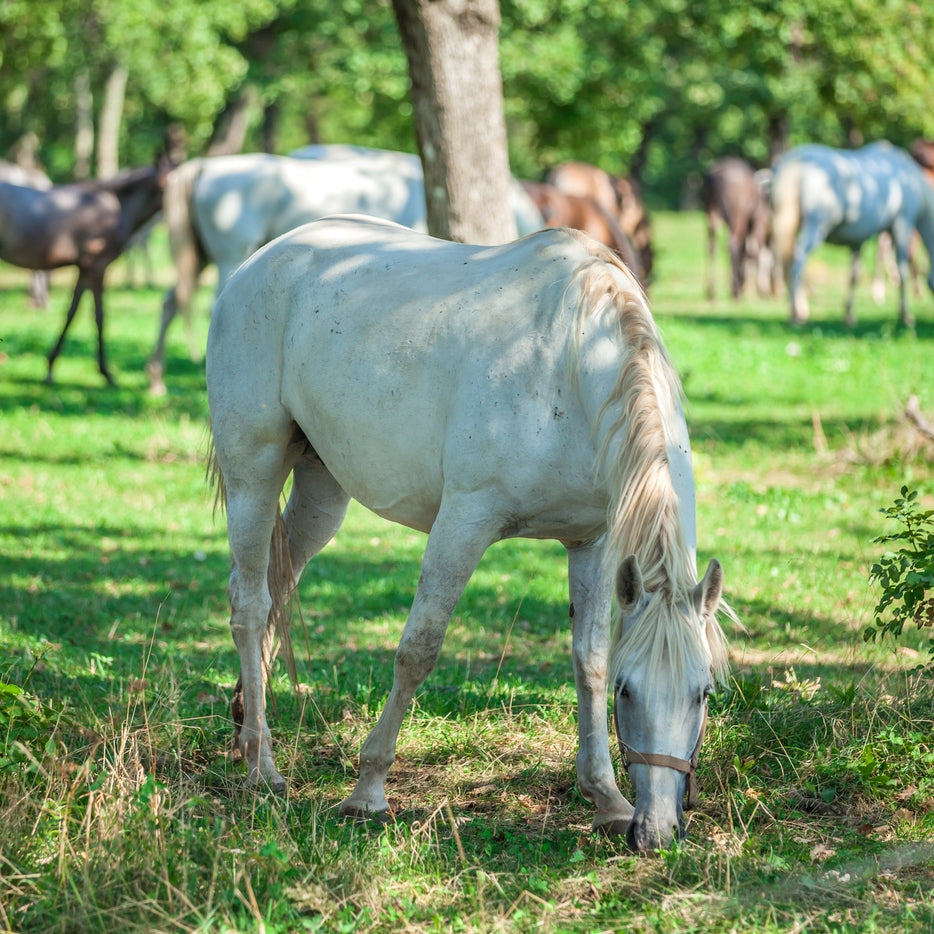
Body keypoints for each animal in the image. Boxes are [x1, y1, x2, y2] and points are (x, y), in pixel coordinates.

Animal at [205, 214, 731, 852]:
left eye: (703, 692)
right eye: (629, 691)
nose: (654, 831)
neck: (570, 361)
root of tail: (262, 260)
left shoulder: (595, 544)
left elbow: (589, 659)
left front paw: (606, 798)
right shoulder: (463, 522)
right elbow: (419, 649)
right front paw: (368, 790)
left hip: (321, 490)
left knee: (279, 586)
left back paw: (243, 727)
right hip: (252, 475)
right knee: (251, 602)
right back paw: (263, 768)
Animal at [701, 157, 774, 300]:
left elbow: (749, 252)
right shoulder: (759, 222)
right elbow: (756, 253)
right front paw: (758, 290)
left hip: (712, 213)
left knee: (712, 246)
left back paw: (711, 292)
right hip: (737, 216)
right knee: (733, 244)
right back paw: (736, 292)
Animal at [771, 141, 934, 327]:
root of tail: (797, 161)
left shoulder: (858, 240)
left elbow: (854, 274)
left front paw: (849, 315)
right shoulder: (902, 224)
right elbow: (902, 269)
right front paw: (905, 315)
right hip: (815, 228)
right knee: (797, 263)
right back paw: (797, 313)